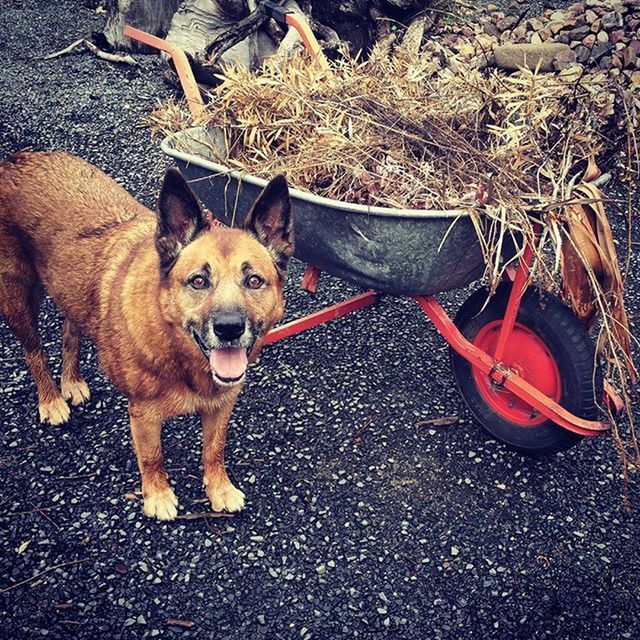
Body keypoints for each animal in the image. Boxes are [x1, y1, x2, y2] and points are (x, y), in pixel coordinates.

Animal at [0, 154, 296, 520]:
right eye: (198, 281)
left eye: (254, 281)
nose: (229, 328)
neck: (178, 351)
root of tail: (19, 158)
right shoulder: (143, 415)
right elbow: (153, 457)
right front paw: (157, 496)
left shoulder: (221, 406)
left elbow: (214, 450)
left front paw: (219, 488)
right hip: (17, 297)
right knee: (33, 351)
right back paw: (51, 399)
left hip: (68, 288)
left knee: (70, 331)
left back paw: (71, 381)